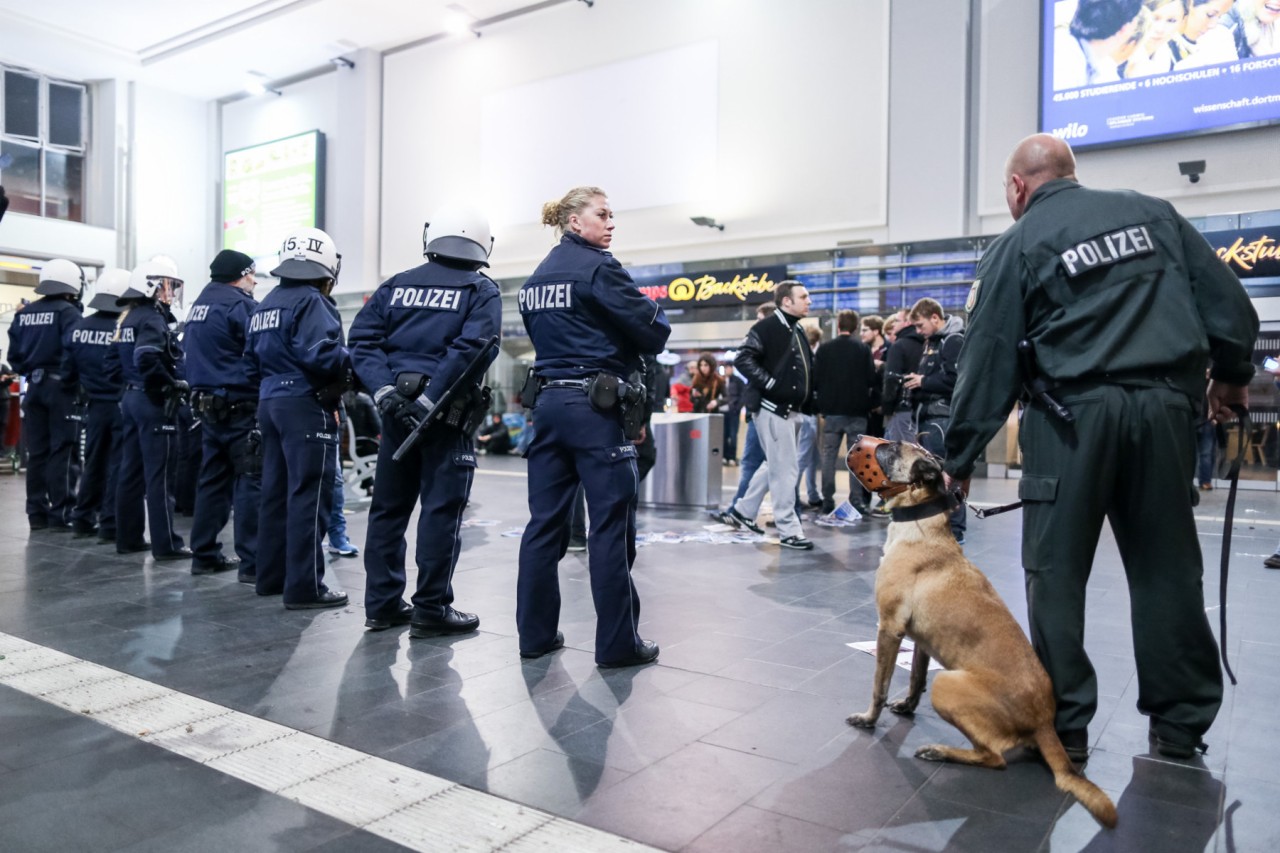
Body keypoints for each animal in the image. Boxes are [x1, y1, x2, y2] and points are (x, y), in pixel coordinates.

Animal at [844, 438, 1116, 824]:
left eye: (891, 448)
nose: (856, 440)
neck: (921, 525)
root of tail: (1045, 723)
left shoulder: (889, 629)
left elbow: (878, 687)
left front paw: (869, 719)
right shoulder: (921, 640)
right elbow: (914, 678)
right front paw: (907, 707)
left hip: (947, 684)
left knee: (995, 758)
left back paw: (940, 751)